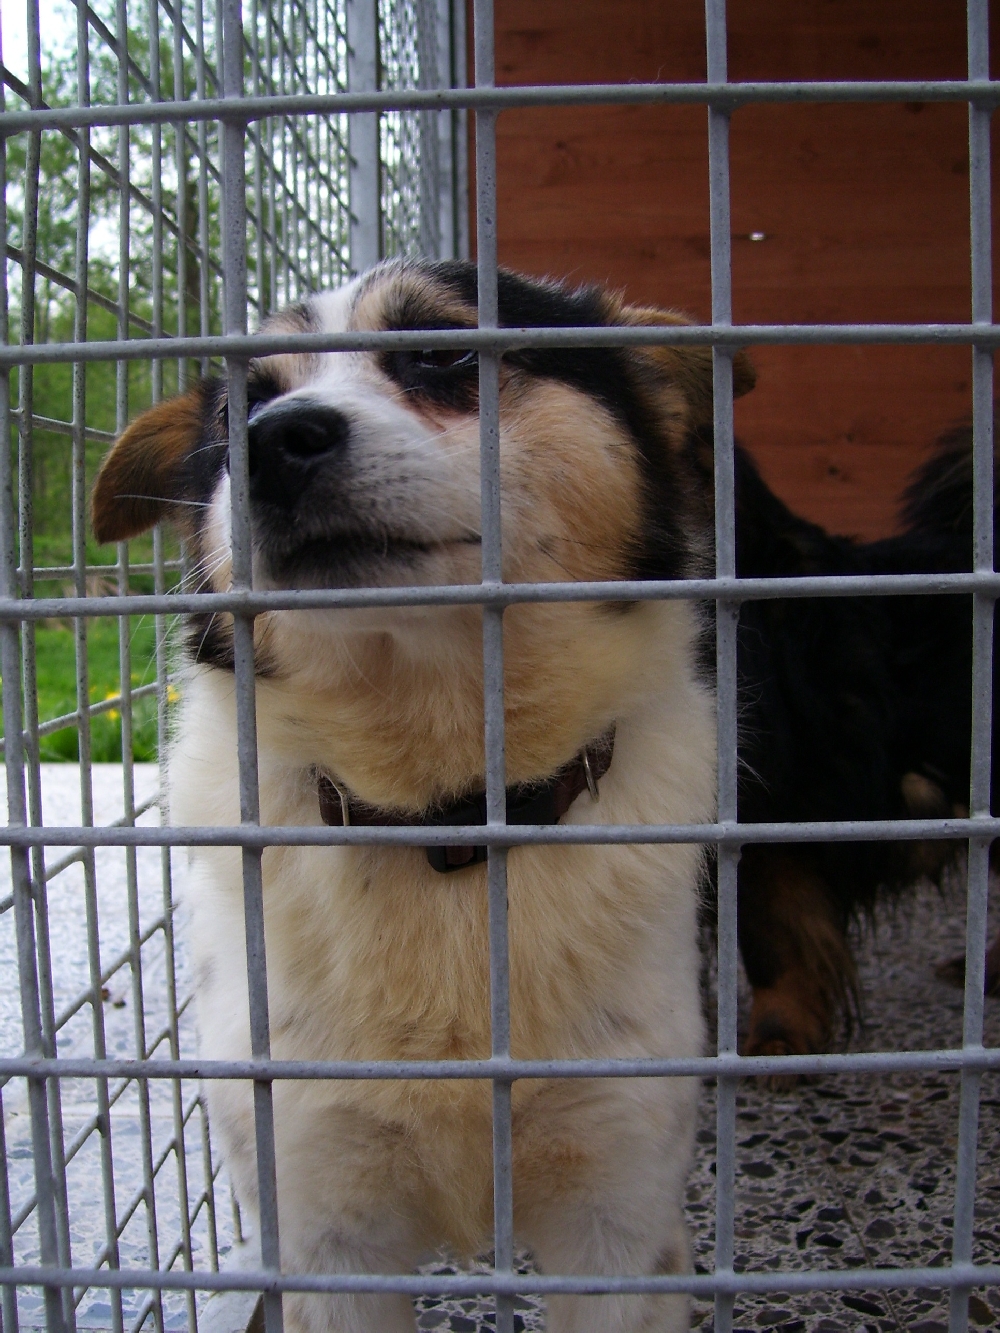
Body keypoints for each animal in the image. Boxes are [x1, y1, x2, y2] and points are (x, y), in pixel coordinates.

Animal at [91, 261, 759, 1333]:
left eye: (443, 351)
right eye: (239, 406)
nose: (270, 441)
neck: (449, 810)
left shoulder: (615, 1222)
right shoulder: (325, 1233)